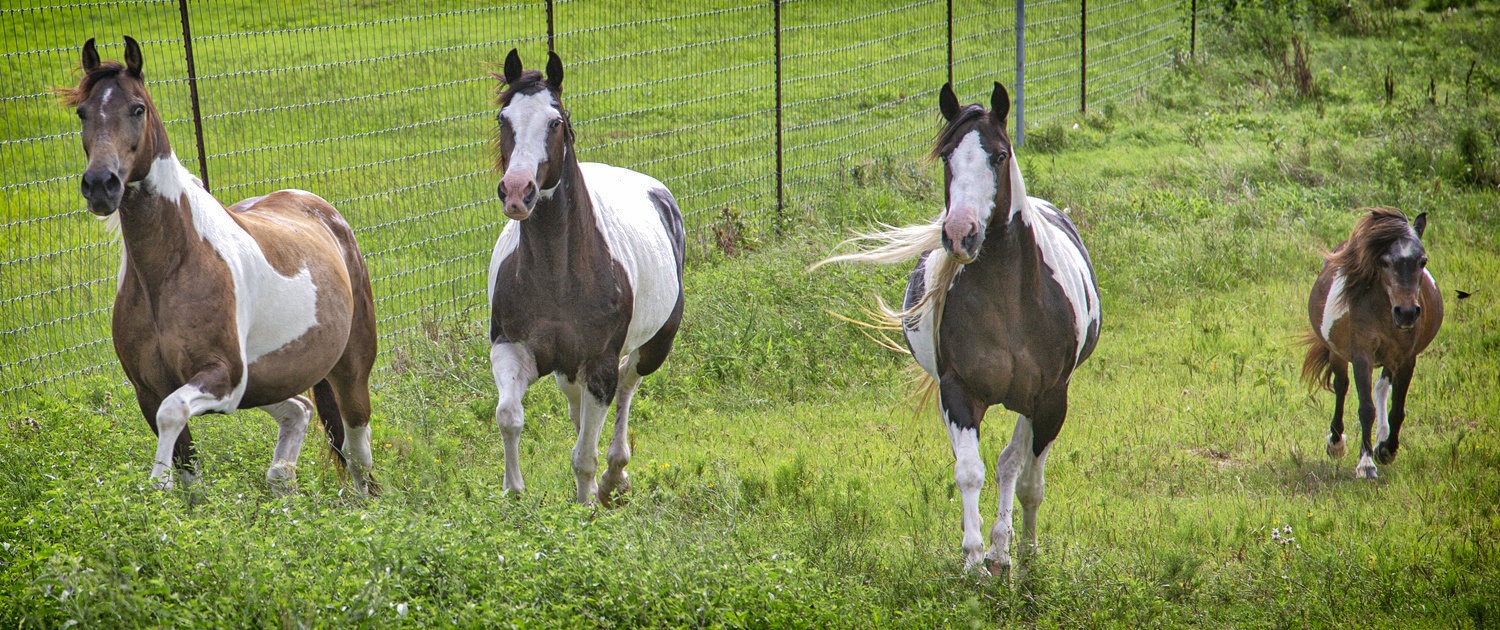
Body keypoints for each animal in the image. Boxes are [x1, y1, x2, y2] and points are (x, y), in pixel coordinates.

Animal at [65, 36, 378, 495]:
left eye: (137, 108)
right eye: (82, 112)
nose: (101, 185)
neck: (169, 271)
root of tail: (319, 208)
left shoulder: (222, 377)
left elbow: (172, 415)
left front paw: (157, 485)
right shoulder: (149, 390)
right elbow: (186, 469)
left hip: (350, 370)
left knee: (357, 453)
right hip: (265, 383)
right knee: (300, 411)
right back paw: (283, 481)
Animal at [486, 49, 687, 507]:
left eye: (555, 121)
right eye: (504, 118)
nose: (517, 191)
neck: (559, 278)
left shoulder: (599, 365)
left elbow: (583, 455)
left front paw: (586, 504)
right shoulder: (510, 348)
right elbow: (509, 416)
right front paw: (514, 491)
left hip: (655, 346)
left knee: (628, 382)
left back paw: (616, 475)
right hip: (567, 367)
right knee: (576, 406)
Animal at [822, 82, 1104, 576]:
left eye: (999, 154)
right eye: (946, 156)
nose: (960, 233)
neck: (1010, 303)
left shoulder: (1051, 399)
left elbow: (1027, 479)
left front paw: (1024, 554)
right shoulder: (958, 392)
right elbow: (969, 471)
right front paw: (973, 560)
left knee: (1013, 464)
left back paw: (1008, 549)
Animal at [1302, 207, 1440, 477]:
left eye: (1422, 261)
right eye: (1384, 261)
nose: (1406, 313)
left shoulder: (1406, 358)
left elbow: (1398, 409)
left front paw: (1386, 450)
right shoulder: (1362, 355)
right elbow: (1366, 408)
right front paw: (1365, 464)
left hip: (1390, 358)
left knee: (1382, 387)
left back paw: (1381, 439)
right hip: (1338, 353)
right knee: (1341, 386)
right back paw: (1336, 443)